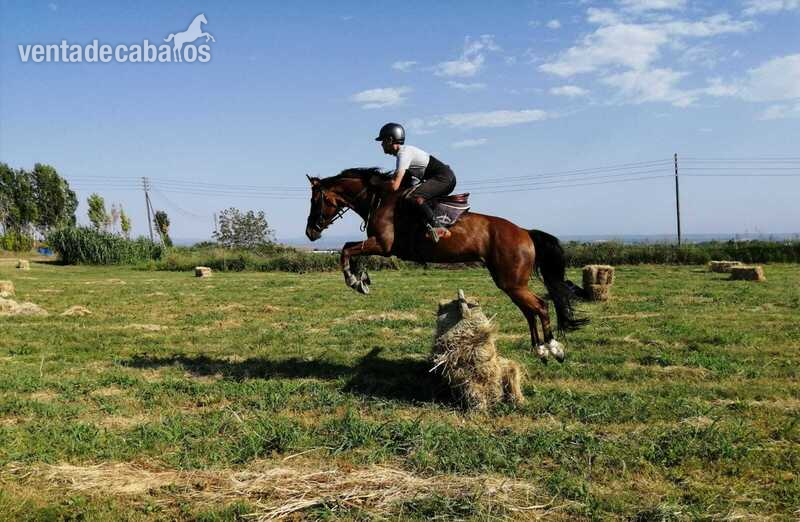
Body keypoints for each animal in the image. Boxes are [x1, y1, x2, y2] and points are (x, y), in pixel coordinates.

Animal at [304, 168, 587, 362]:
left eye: (315, 201)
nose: (310, 232)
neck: (379, 198)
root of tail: (525, 233)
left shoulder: (383, 245)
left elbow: (346, 250)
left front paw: (353, 280)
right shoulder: (378, 245)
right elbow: (351, 249)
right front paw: (362, 280)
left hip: (512, 282)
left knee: (540, 306)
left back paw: (553, 348)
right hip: (509, 282)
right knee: (530, 311)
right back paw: (539, 350)